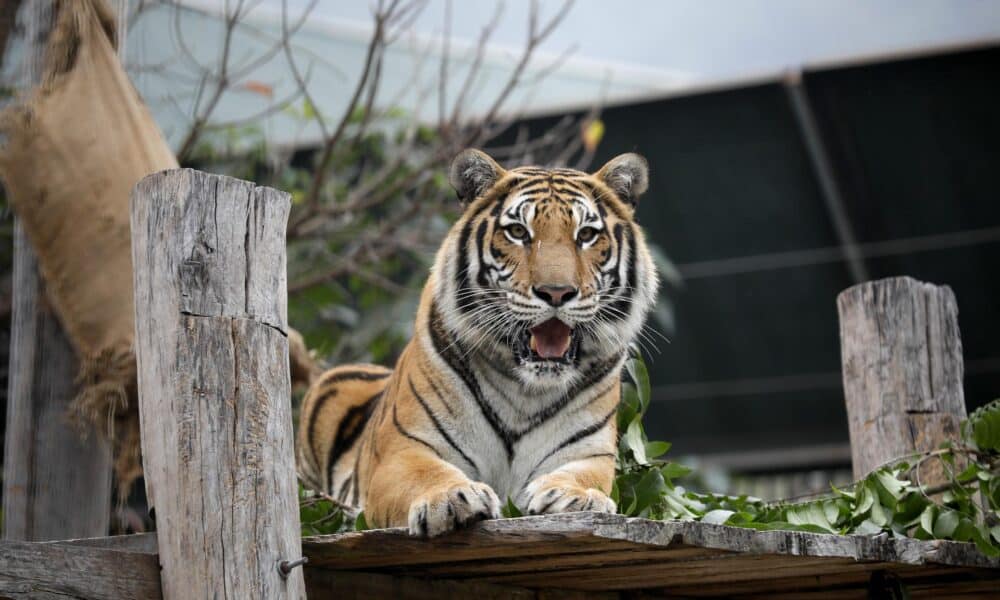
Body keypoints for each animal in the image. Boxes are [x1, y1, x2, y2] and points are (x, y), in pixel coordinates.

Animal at [294, 148, 656, 536]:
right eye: (517, 232)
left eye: (586, 234)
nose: (556, 293)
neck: (525, 391)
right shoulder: (402, 450)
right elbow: (424, 474)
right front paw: (451, 498)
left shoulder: (588, 453)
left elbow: (584, 477)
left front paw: (576, 497)